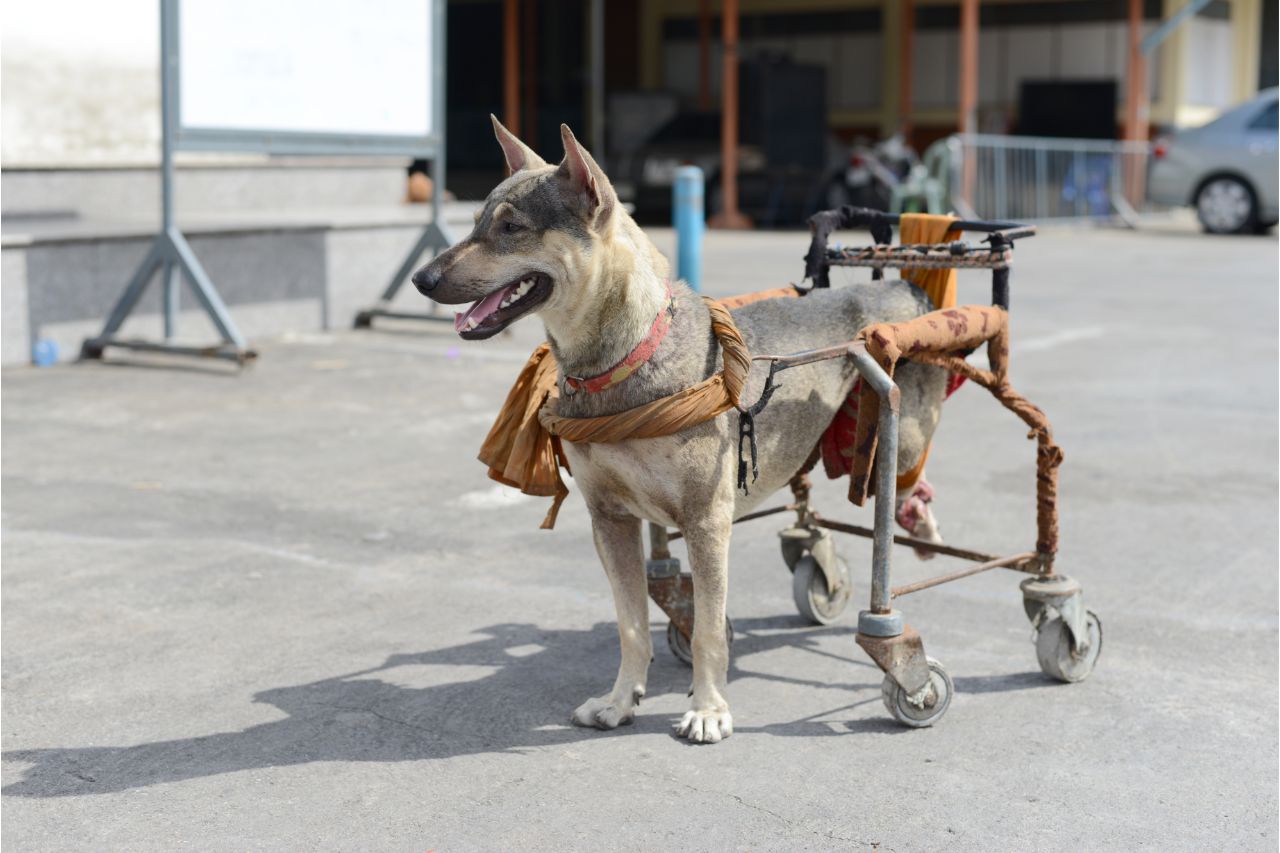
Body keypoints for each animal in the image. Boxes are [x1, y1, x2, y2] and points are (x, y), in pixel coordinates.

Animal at [414, 116, 947, 742]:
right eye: (477, 221)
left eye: (512, 227)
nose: (421, 278)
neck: (624, 358)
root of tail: (904, 286)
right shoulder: (610, 520)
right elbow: (631, 624)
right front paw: (620, 701)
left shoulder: (705, 521)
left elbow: (710, 630)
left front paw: (709, 709)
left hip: (901, 435)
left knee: (908, 484)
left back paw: (922, 531)